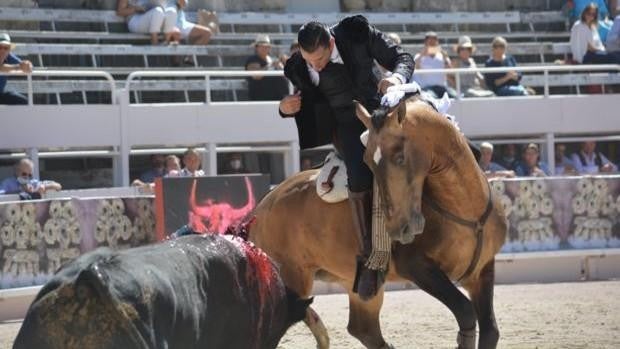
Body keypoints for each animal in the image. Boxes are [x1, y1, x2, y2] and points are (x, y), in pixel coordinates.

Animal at [248, 93, 508, 348]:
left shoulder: (482, 270)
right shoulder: (418, 267)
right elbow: (465, 312)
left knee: (363, 329)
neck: (465, 209)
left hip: (356, 284)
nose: (398, 228)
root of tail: (262, 207)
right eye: (368, 162)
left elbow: (490, 332)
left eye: (400, 157)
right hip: (292, 276)